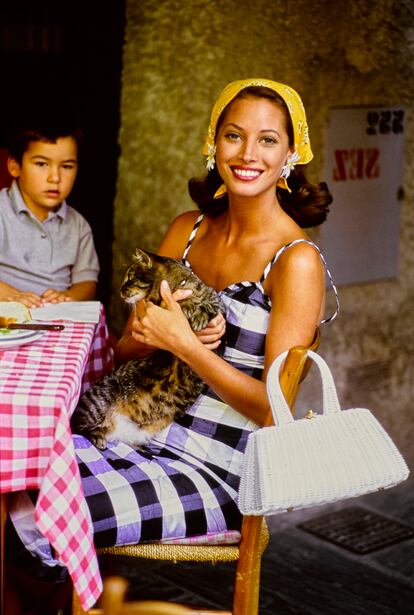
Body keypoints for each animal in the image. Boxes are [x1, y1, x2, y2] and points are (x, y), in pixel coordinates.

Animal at [71, 248, 226, 450]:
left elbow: (210, 303)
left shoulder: (218, 307)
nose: (120, 290)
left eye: (130, 277)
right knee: (77, 425)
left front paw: (196, 312)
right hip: (99, 400)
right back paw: (97, 437)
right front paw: (186, 307)